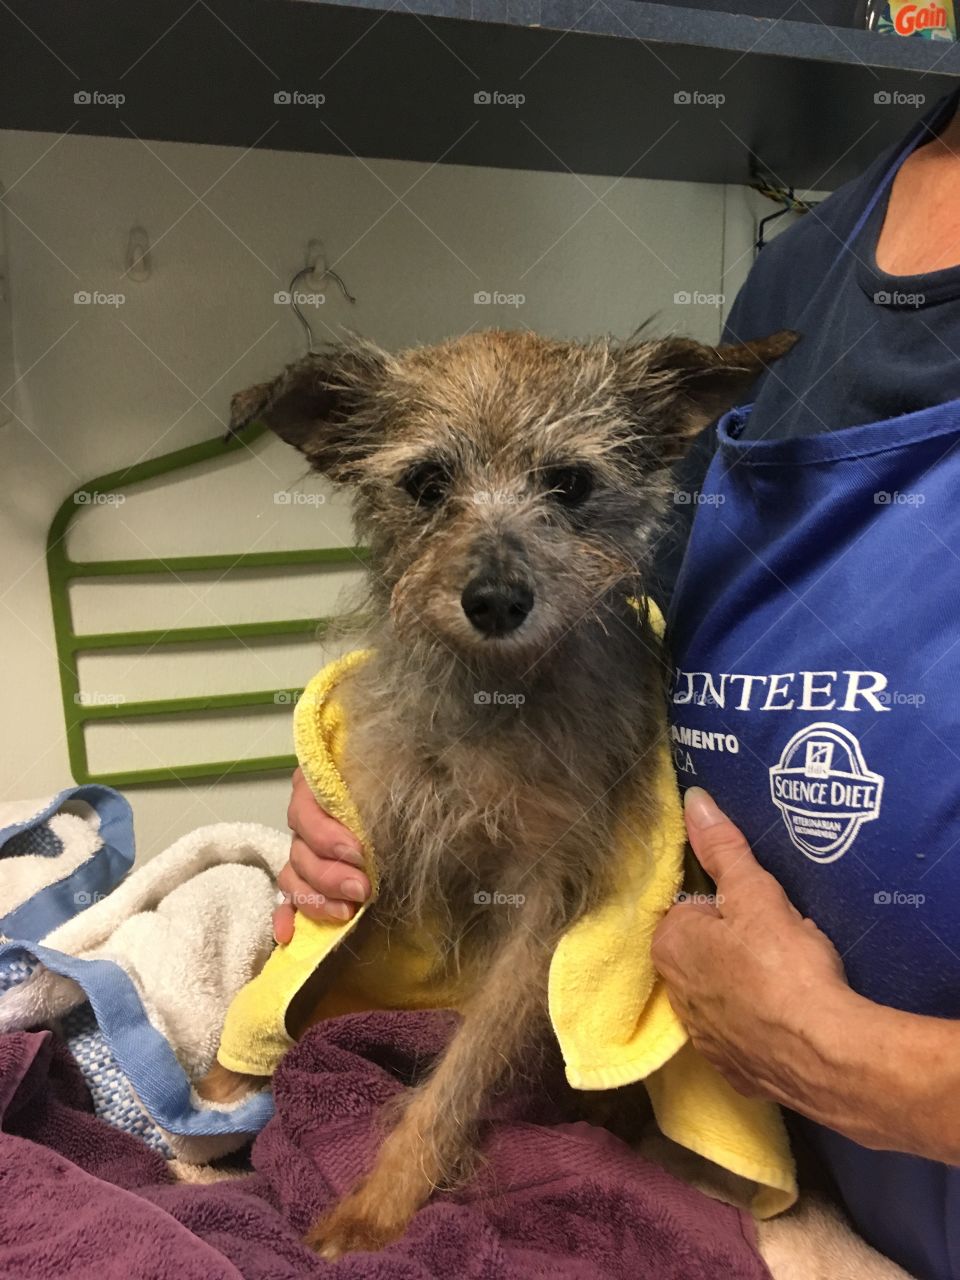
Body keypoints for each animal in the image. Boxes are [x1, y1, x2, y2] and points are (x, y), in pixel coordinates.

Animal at [200, 325, 798, 1254]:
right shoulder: (376, 853)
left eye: (571, 484)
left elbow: (466, 1065)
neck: (493, 699)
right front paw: (222, 1092)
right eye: (426, 484)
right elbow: (289, 975)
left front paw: (380, 1202)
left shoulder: (544, 906)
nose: (495, 598)